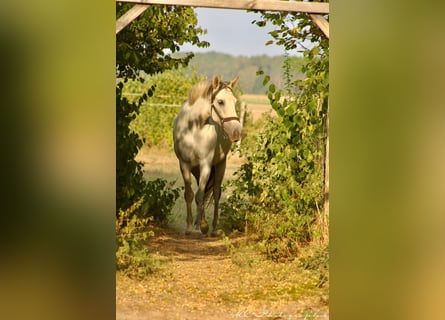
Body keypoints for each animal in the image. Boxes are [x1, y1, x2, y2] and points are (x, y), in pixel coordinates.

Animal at [173, 75, 243, 235]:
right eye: (220, 102)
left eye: (235, 102)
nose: (237, 132)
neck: (193, 127)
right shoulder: (184, 165)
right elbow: (190, 194)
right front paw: (189, 227)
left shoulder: (206, 165)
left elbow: (200, 196)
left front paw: (197, 228)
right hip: (197, 170)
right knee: (204, 192)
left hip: (220, 165)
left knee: (215, 193)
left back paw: (213, 228)